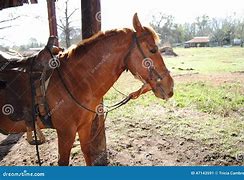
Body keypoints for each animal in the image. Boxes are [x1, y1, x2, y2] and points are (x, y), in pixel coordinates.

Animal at [0, 13, 173, 166]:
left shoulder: (84, 127)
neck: (73, 80)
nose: (170, 86)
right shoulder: (66, 132)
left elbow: (87, 154)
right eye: (152, 49)